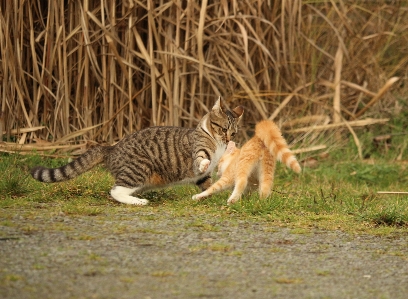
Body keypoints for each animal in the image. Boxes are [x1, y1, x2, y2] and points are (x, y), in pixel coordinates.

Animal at [31, 98, 244, 206]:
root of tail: (112, 147)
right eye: (223, 129)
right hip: (139, 168)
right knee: (115, 191)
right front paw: (206, 163)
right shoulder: (198, 151)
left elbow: (207, 185)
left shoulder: (202, 177)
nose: (228, 140)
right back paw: (138, 202)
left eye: (233, 133)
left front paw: (208, 195)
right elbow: (201, 159)